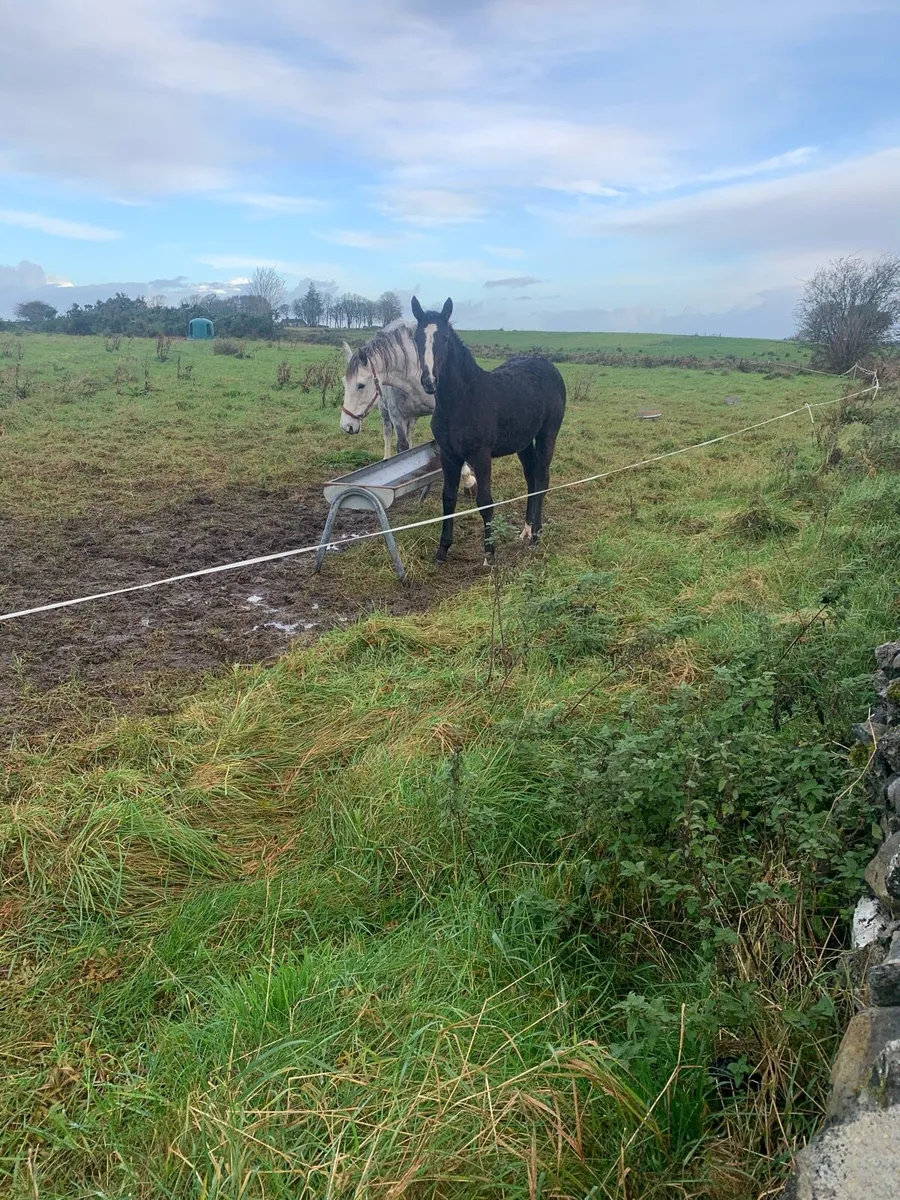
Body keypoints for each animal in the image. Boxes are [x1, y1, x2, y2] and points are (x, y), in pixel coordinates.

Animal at [339, 320, 475, 491]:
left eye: (361, 385)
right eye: (344, 382)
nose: (346, 425)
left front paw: (468, 479)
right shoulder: (397, 416)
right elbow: (402, 447)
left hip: (413, 417)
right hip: (386, 413)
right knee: (388, 434)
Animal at [410, 296, 566, 565]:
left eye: (445, 338)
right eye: (417, 338)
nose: (429, 381)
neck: (461, 401)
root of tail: (550, 366)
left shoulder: (480, 455)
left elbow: (484, 501)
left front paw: (490, 554)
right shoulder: (449, 455)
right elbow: (448, 498)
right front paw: (442, 551)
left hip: (548, 433)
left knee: (543, 478)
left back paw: (536, 535)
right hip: (524, 442)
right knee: (531, 477)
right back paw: (526, 530)